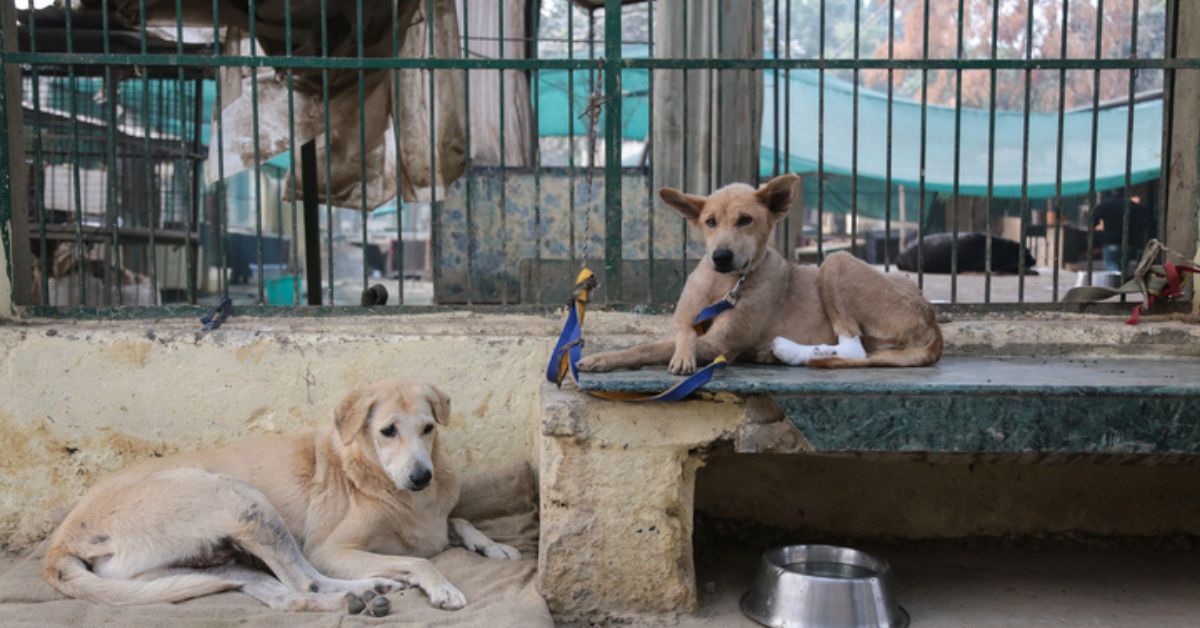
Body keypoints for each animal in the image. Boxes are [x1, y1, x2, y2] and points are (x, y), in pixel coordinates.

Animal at [41, 381, 520, 614]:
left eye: (428, 428)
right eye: (387, 431)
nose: (422, 476)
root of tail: (62, 540)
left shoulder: (436, 519)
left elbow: (458, 521)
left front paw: (493, 546)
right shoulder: (330, 549)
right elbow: (421, 561)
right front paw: (442, 588)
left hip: (202, 565)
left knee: (283, 594)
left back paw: (359, 596)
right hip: (241, 499)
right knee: (304, 578)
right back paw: (367, 588)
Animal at [576, 172, 940, 374]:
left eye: (745, 220)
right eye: (709, 221)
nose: (721, 257)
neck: (723, 284)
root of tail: (931, 318)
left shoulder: (718, 344)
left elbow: (653, 347)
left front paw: (603, 358)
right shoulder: (685, 321)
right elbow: (674, 335)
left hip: (836, 261)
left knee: (853, 348)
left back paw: (786, 351)